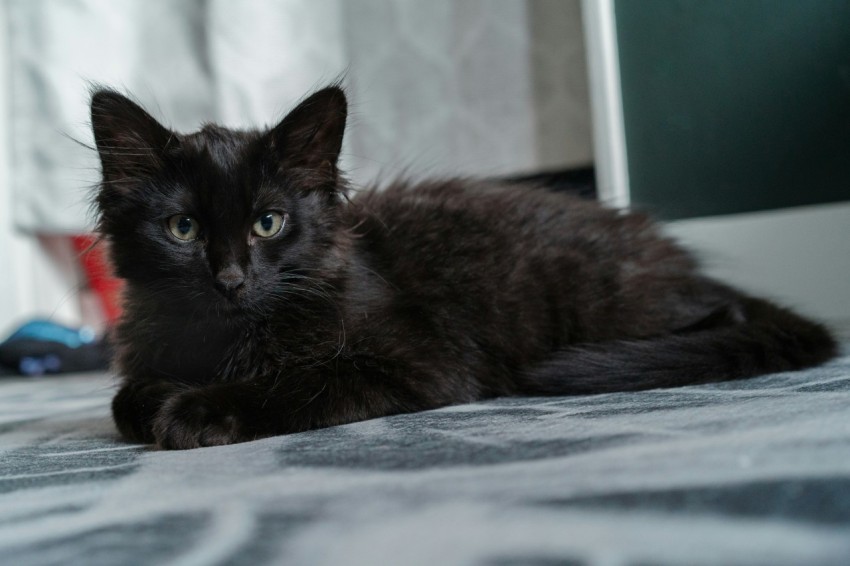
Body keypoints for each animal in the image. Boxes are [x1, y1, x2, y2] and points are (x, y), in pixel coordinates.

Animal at [91, 85, 836, 452]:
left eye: (267, 223)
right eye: (182, 229)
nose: (231, 279)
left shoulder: (422, 360)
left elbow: (300, 380)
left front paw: (199, 410)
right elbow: (125, 396)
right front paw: (159, 401)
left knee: (723, 316)